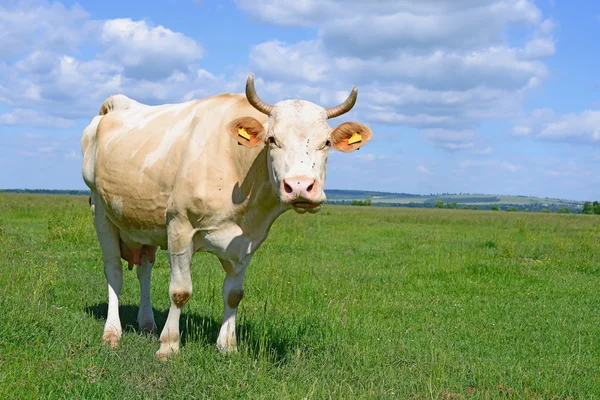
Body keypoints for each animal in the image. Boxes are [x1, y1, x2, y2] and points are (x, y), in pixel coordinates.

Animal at [79, 75, 370, 360]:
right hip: (101, 212)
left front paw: (227, 345)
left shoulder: (248, 241)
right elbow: (180, 291)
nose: (300, 186)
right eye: (272, 139)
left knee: (144, 269)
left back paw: (148, 323)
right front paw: (169, 345)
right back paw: (112, 333)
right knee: (114, 272)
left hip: (143, 222)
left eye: (327, 142)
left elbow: (233, 295)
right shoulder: (179, 226)